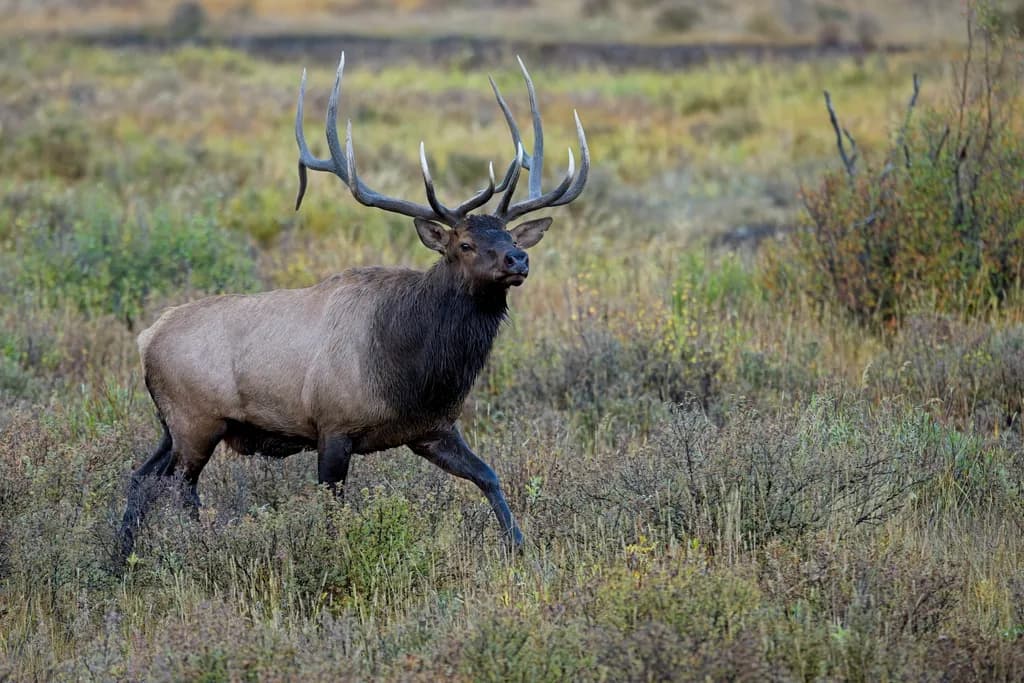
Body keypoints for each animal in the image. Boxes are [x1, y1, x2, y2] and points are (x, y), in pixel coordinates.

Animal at [118, 53, 589, 557]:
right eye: (464, 243)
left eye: (508, 237)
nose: (518, 259)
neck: (414, 371)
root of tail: (146, 339)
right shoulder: (333, 426)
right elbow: (333, 510)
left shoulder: (431, 427)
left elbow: (488, 476)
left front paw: (520, 547)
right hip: (195, 420)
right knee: (181, 488)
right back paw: (192, 545)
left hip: (171, 425)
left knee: (142, 478)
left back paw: (121, 554)